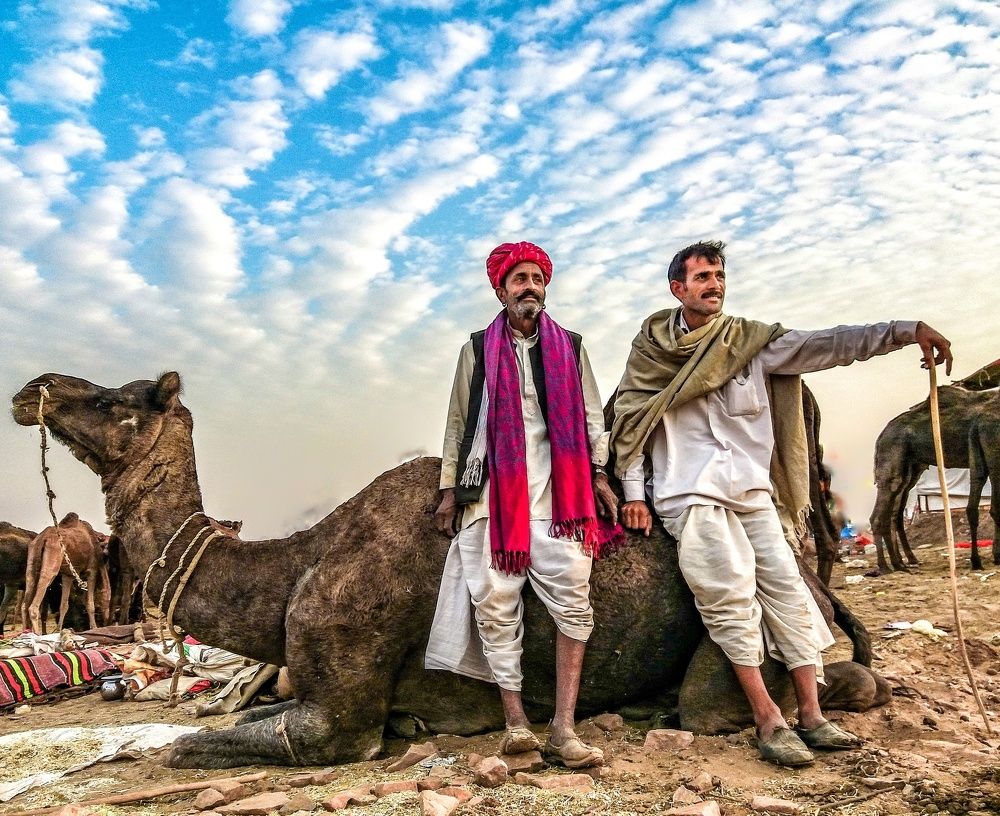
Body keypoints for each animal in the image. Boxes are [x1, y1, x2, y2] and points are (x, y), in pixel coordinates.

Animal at [12, 372, 889, 769]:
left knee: (744, 697)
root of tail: (816, 582)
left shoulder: (337, 708)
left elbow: (193, 747)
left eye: (118, 399)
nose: (34, 388)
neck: (296, 566)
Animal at [870, 385, 997, 572]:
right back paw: (886, 566)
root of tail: (881, 435)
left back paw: (902, 562)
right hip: (892, 456)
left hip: (911, 469)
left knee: (894, 513)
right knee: (882, 512)